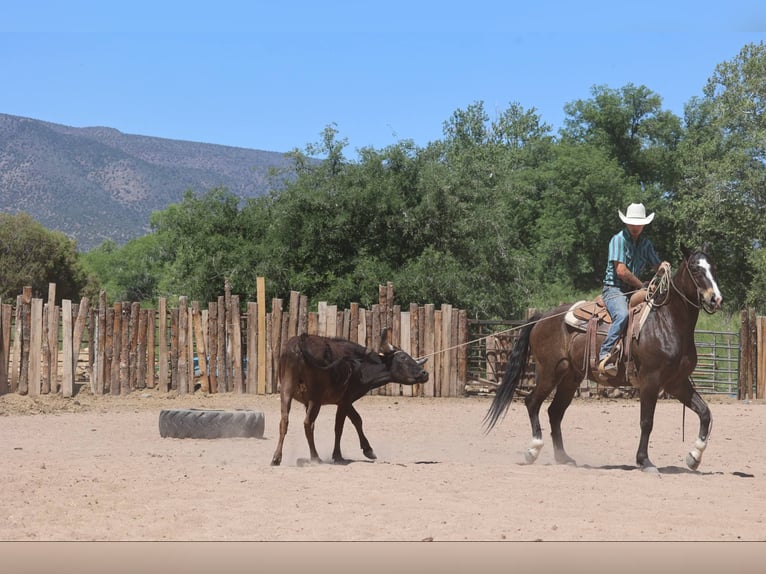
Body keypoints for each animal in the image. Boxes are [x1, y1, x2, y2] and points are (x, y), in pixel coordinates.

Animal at [484, 244, 723, 472]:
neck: (666, 322)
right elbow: (647, 422)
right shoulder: (650, 381)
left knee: (555, 412)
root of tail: (542, 317)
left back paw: (564, 457)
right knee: (532, 402)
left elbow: (705, 413)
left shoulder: (676, 383)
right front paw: (644, 461)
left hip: (570, 377)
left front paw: (694, 457)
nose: (715, 299)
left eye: (714, 267)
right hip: (549, 372)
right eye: (695, 268)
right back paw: (533, 450)